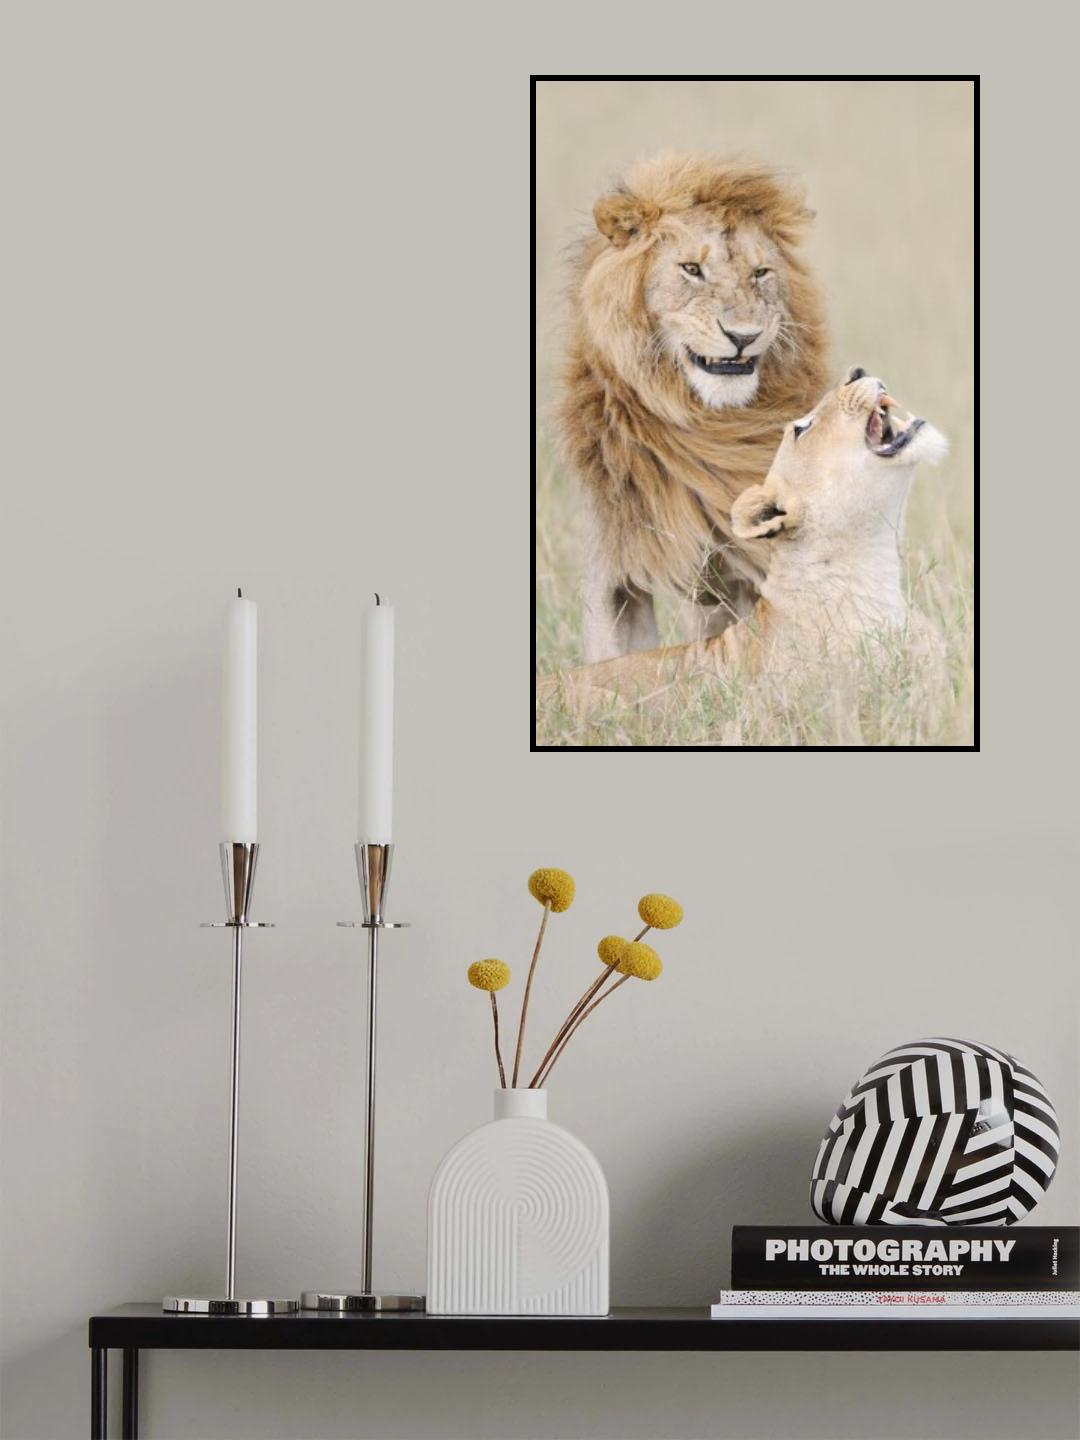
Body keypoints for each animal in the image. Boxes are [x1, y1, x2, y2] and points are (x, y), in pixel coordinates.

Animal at [557, 152, 829, 662]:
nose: (743, 336)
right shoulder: (612, 566)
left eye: (760, 273)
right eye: (691, 269)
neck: (708, 423)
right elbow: (612, 657)